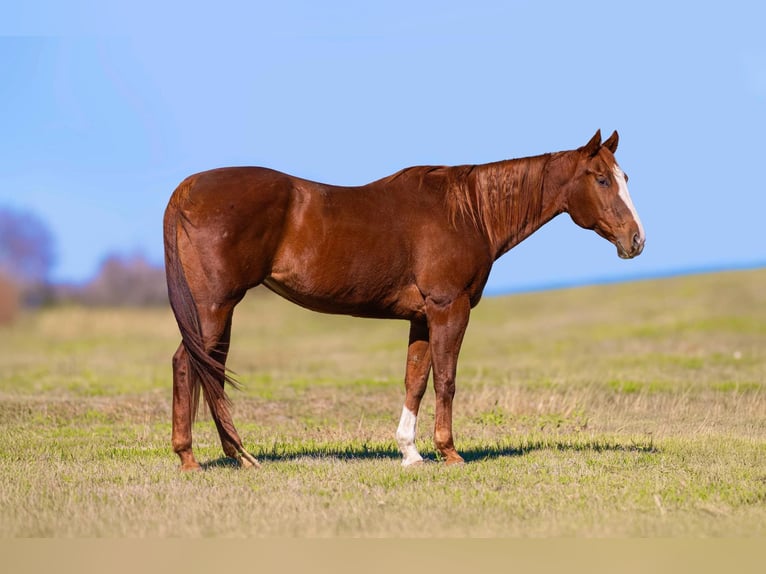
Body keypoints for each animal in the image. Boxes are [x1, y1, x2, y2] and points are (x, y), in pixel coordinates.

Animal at [163, 129, 645, 470]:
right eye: (602, 179)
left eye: (625, 178)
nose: (636, 241)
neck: (468, 211)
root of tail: (187, 189)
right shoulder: (449, 307)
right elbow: (446, 379)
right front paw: (449, 452)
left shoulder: (421, 317)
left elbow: (415, 380)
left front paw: (410, 453)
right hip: (213, 307)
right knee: (188, 365)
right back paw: (191, 458)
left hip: (221, 311)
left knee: (211, 370)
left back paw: (239, 455)